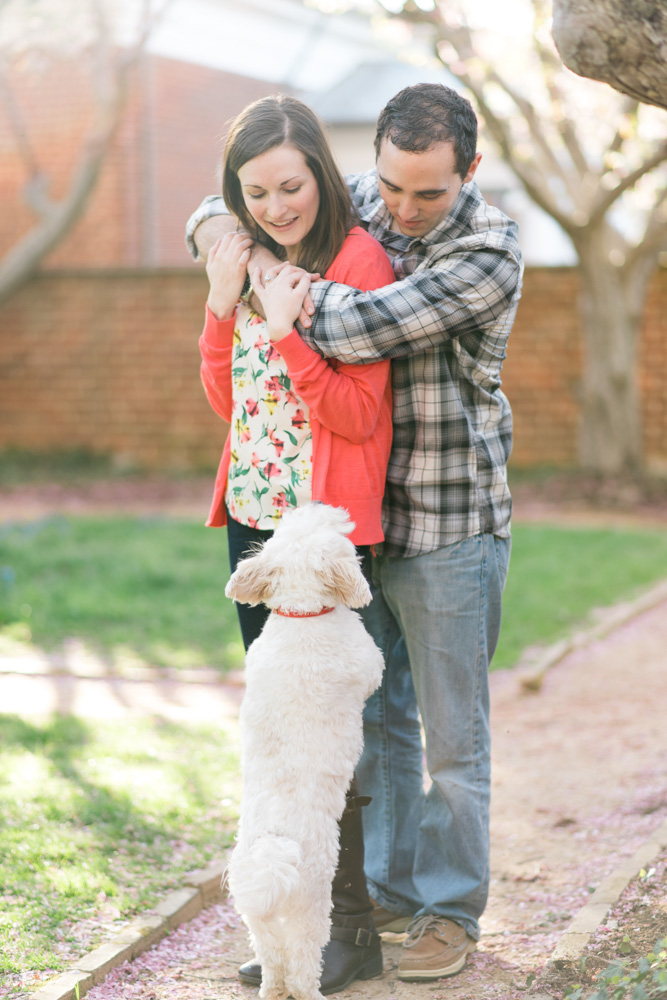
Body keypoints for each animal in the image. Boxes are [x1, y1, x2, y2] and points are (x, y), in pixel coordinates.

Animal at [226, 508, 384, 1000]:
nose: (333, 509)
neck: (302, 614)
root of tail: (273, 852)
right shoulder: (367, 663)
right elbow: (375, 669)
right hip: (312, 908)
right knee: (301, 966)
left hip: (258, 920)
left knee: (274, 966)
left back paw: (268, 986)